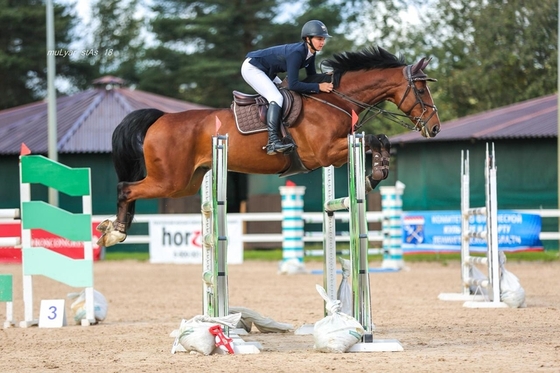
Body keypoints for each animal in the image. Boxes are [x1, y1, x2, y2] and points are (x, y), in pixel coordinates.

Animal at [96, 45, 440, 246]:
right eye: (422, 89)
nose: (435, 127)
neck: (335, 100)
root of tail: (160, 118)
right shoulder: (326, 153)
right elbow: (374, 139)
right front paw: (373, 176)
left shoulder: (337, 151)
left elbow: (379, 140)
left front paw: (374, 175)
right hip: (169, 180)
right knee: (126, 188)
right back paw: (116, 231)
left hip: (186, 184)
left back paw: (113, 229)